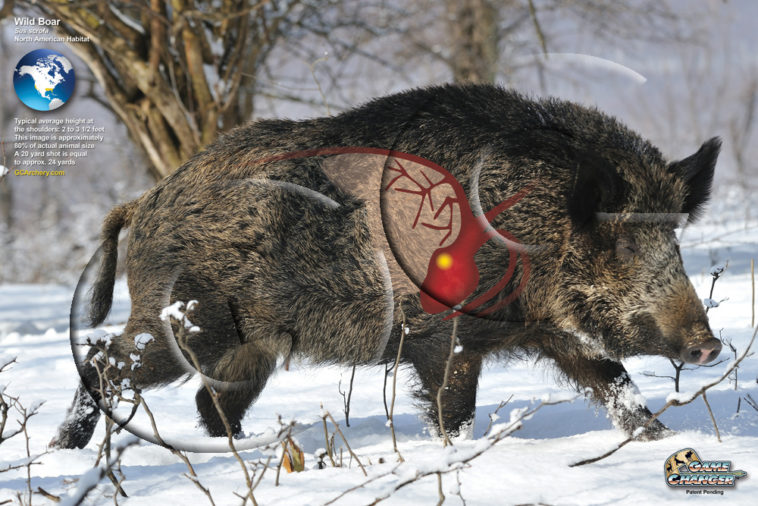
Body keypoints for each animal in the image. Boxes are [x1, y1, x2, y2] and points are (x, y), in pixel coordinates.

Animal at [51, 84, 722, 450]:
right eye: (622, 243)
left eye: (673, 238)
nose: (710, 344)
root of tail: (147, 199)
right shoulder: (442, 336)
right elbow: (454, 409)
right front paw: (456, 457)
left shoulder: (551, 330)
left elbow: (615, 382)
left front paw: (668, 442)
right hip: (183, 321)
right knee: (108, 364)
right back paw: (69, 451)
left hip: (252, 345)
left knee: (211, 403)